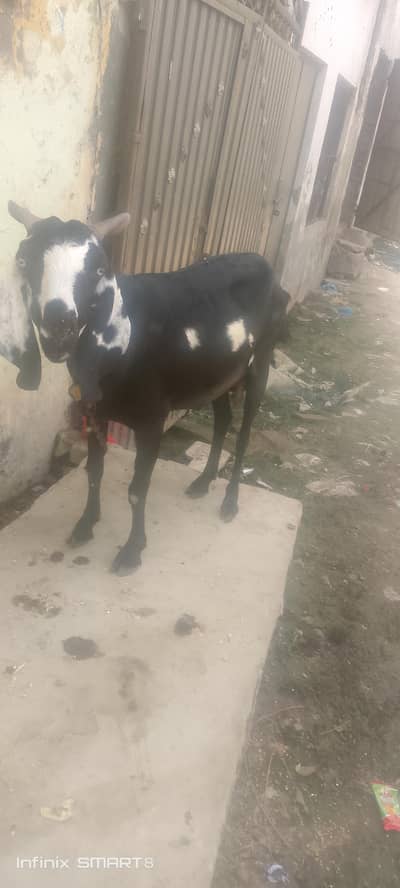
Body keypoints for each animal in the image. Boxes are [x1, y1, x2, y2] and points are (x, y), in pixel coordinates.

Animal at [5, 201, 290, 575]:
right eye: (25, 260)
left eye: (99, 269)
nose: (59, 327)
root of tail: (265, 266)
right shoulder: (95, 413)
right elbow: (94, 471)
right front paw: (85, 526)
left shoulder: (152, 421)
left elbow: (137, 490)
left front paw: (131, 551)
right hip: (218, 375)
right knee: (223, 420)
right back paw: (202, 482)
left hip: (261, 362)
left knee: (243, 433)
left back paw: (230, 501)